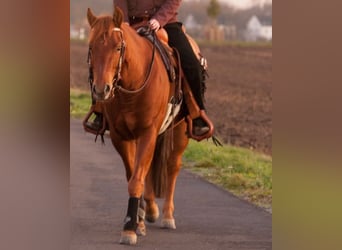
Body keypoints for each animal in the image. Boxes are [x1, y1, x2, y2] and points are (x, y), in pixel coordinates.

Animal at [86, 7, 190, 244]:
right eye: (91, 46)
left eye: (117, 47)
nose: (101, 89)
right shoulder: (121, 137)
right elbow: (134, 175)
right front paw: (137, 221)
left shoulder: (147, 133)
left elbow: (136, 180)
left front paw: (129, 228)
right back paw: (150, 211)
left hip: (179, 132)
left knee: (172, 166)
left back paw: (168, 216)